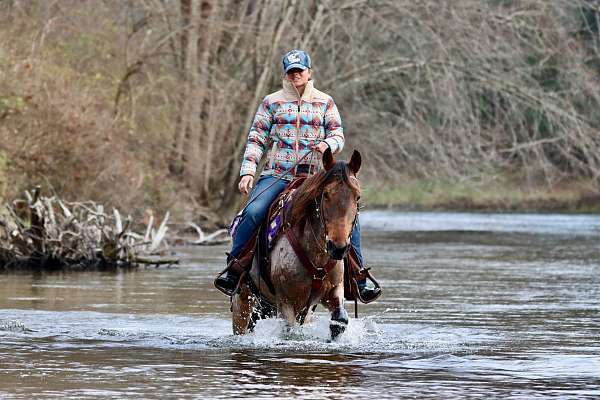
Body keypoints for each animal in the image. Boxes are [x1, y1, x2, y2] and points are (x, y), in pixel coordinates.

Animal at [231, 148, 360, 340]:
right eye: (326, 194)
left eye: (357, 197)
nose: (338, 248)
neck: (316, 255)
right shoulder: (286, 303)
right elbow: (289, 331)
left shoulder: (333, 291)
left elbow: (340, 319)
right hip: (243, 302)